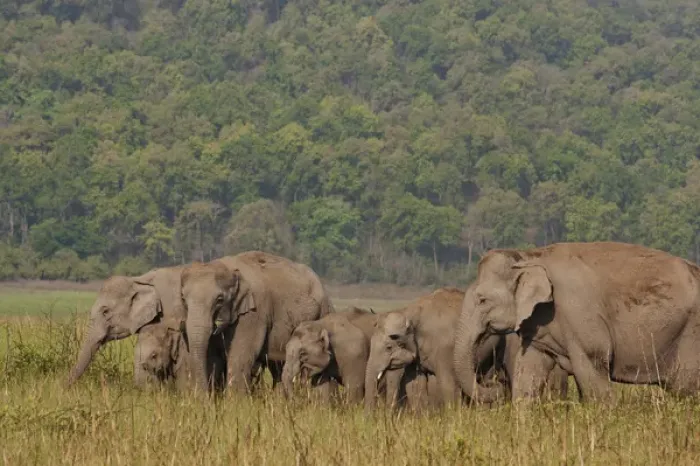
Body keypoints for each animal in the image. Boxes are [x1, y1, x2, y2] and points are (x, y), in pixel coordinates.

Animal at [180, 251, 334, 393]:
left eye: (219, 299)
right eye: (183, 299)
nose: (202, 396)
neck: (229, 268)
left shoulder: (254, 314)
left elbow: (240, 358)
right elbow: (212, 357)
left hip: (323, 310)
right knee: (277, 366)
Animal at [455, 241, 700, 404]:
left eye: (482, 299)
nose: (494, 382)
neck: (531, 255)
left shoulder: (580, 315)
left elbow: (592, 370)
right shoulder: (539, 326)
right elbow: (529, 370)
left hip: (691, 334)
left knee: (687, 387)